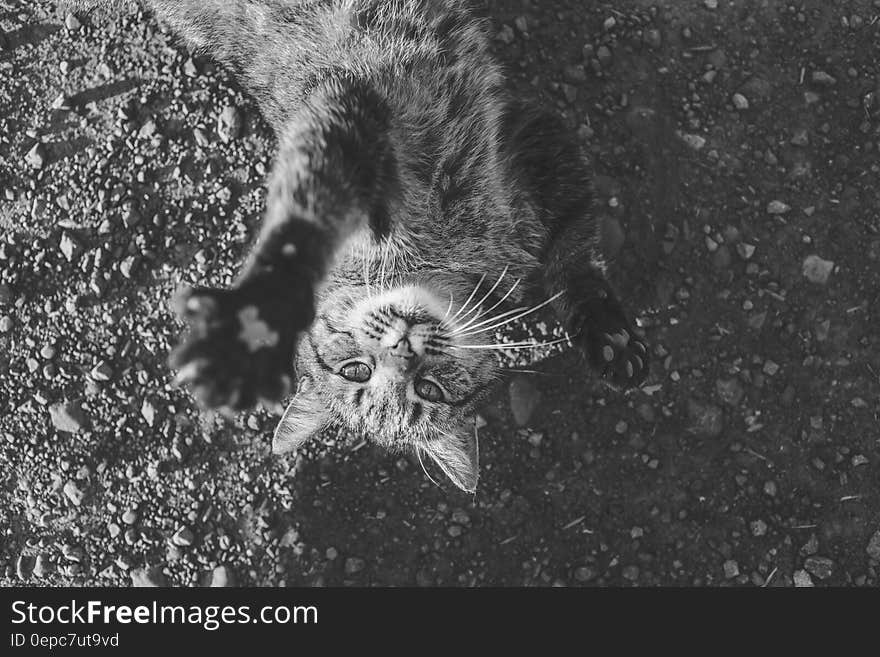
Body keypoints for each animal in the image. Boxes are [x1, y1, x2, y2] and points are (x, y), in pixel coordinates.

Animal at [74, 0, 648, 492]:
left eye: (428, 389)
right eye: (357, 372)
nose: (402, 348)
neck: (440, 255)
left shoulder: (530, 141)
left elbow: (576, 252)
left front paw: (610, 339)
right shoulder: (344, 103)